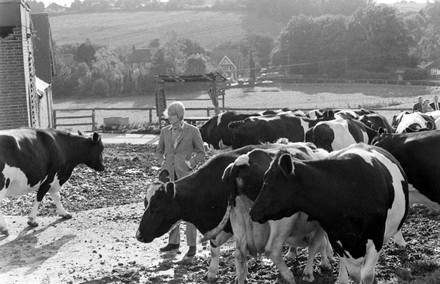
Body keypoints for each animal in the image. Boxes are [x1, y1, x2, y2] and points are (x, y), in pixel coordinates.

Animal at [222, 144, 332, 284]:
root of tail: (242, 161)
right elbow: (317, 244)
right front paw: (315, 269)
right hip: (282, 222)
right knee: (272, 250)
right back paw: (289, 276)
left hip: (238, 219)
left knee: (239, 254)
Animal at [251, 144, 410, 284]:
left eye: (268, 181)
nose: (252, 211)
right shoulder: (336, 239)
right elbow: (355, 274)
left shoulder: (376, 239)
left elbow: (367, 276)